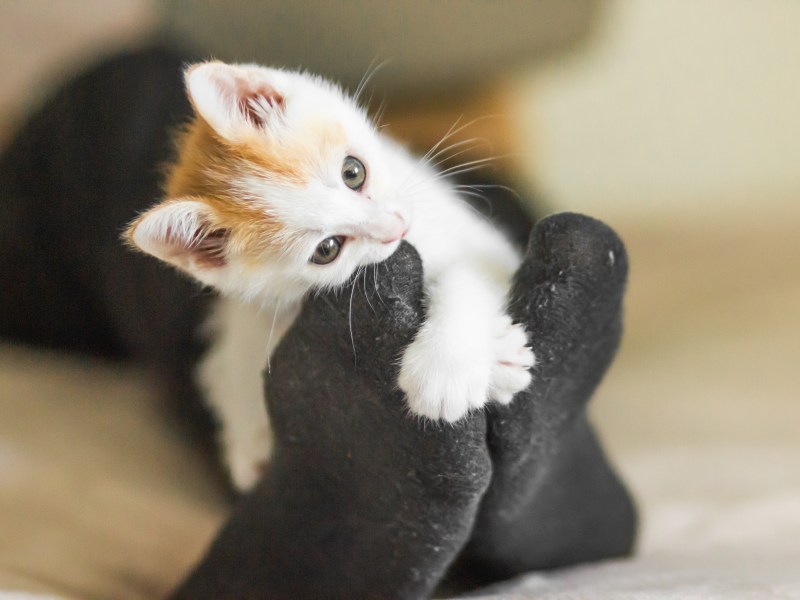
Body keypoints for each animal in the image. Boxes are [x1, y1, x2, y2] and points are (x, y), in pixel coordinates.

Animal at [125, 62, 536, 492]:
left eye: (352, 172)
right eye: (327, 250)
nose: (396, 228)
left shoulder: (486, 247)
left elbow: (468, 275)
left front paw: (445, 369)